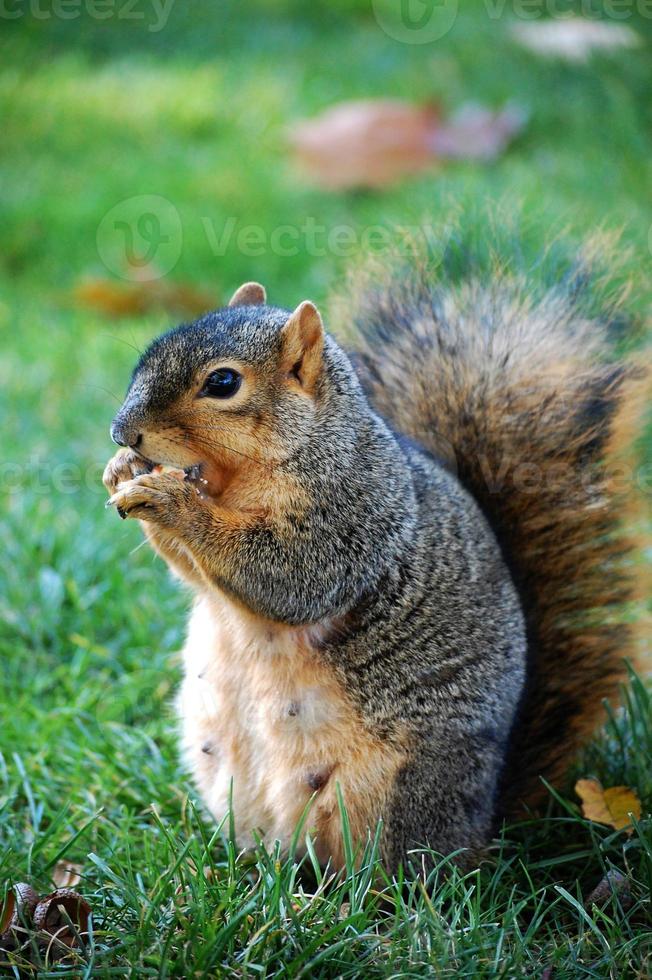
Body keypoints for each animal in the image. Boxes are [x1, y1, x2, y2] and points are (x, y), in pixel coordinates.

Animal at [103, 258, 645, 872]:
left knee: (399, 871)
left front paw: (173, 501)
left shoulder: (353, 516)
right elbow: (198, 576)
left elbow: (287, 577)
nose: (122, 432)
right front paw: (122, 470)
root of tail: (482, 825)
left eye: (223, 383)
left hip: (393, 795)